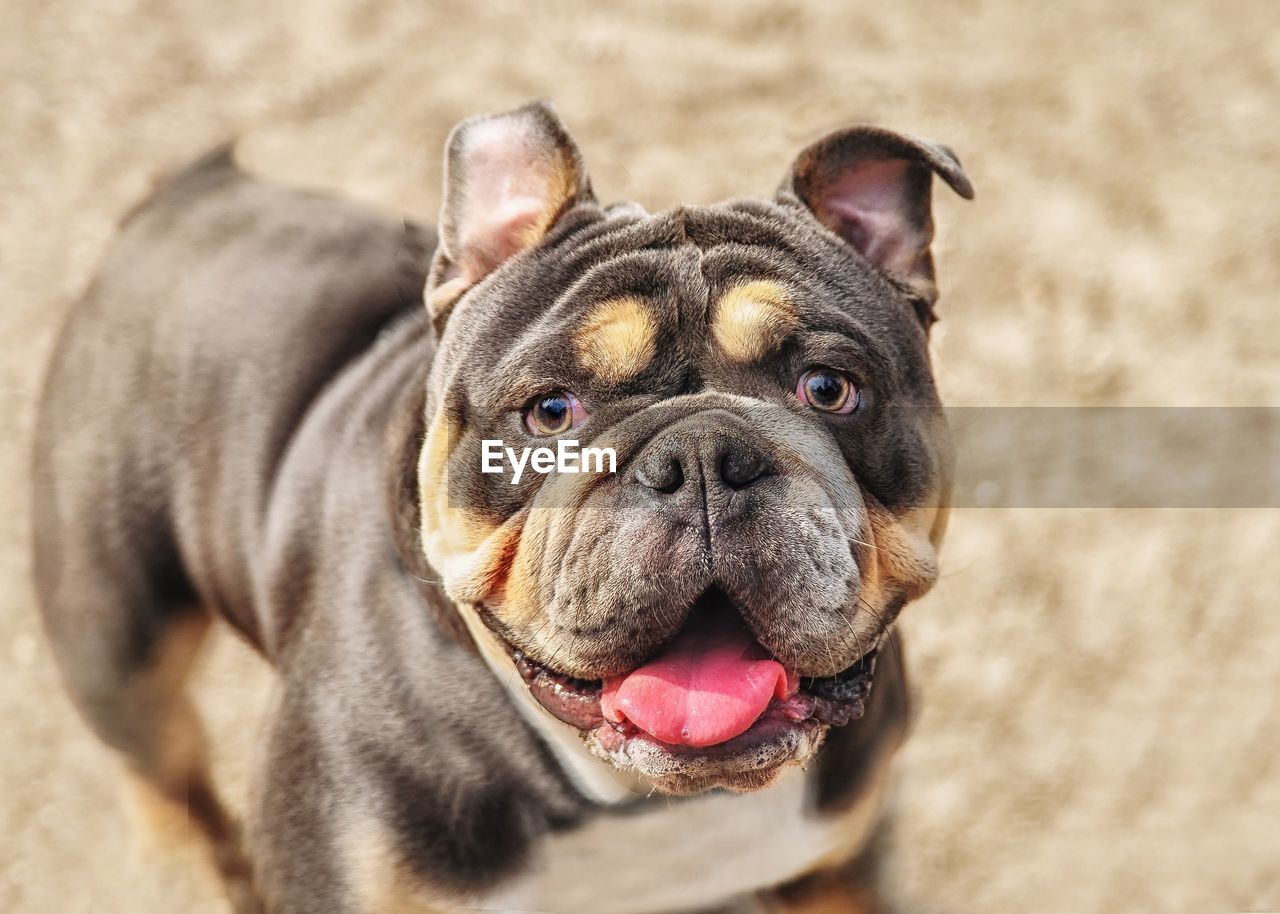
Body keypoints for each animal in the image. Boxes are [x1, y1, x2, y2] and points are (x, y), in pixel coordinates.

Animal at [30, 101, 967, 911]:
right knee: (158, 760)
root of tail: (183, 200)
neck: (635, 797)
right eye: (550, 411)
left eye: (829, 389)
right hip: (118, 639)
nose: (702, 456)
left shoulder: (833, 872)